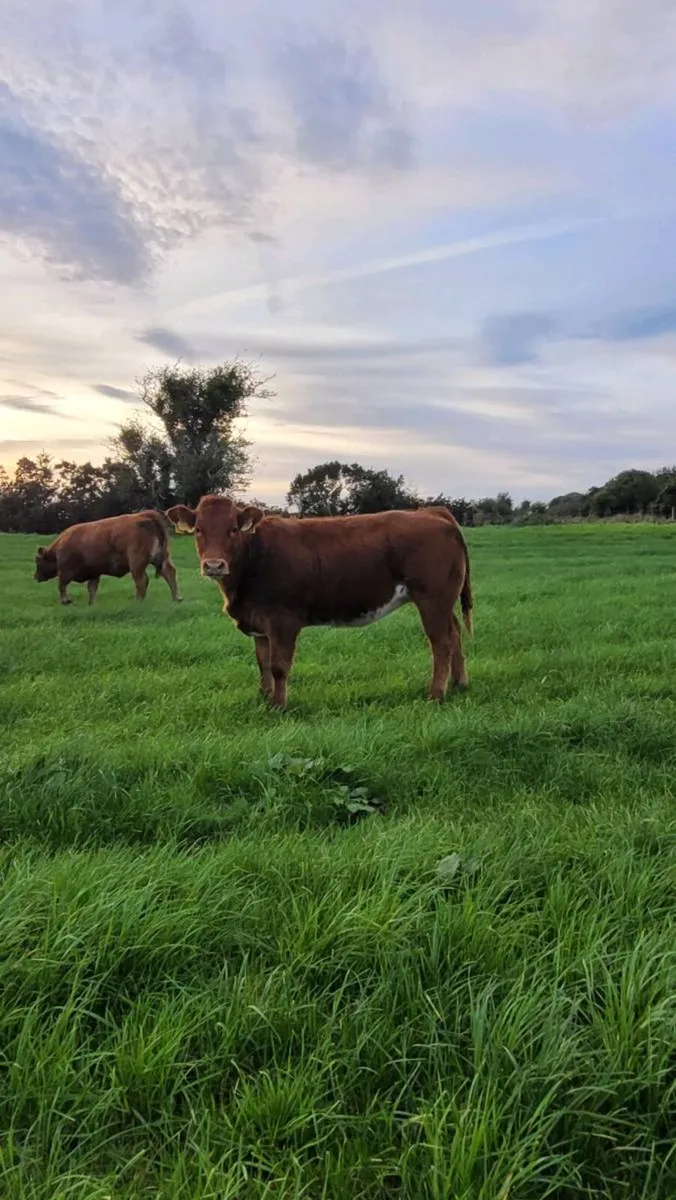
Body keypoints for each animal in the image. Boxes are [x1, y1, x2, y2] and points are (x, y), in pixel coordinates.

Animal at [33, 510, 182, 606]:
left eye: (38, 562)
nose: (35, 576)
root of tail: (146, 515)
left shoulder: (65, 571)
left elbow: (61, 585)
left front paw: (66, 600)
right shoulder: (94, 573)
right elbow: (92, 589)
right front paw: (91, 604)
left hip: (137, 563)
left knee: (142, 581)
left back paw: (138, 601)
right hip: (162, 558)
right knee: (169, 573)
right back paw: (176, 598)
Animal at [166, 496, 472, 709]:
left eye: (232, 530)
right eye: (199, 530)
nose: (214, 565)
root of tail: (432, 512)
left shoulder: (282, 621)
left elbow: (278, 666)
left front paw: (278, 706)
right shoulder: (259, 623)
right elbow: (262, 663)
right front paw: (263, 697)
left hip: (432, 598)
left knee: (441, 643)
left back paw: (436, 694)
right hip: (443, 601)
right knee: (455, 634)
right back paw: (460, 683)